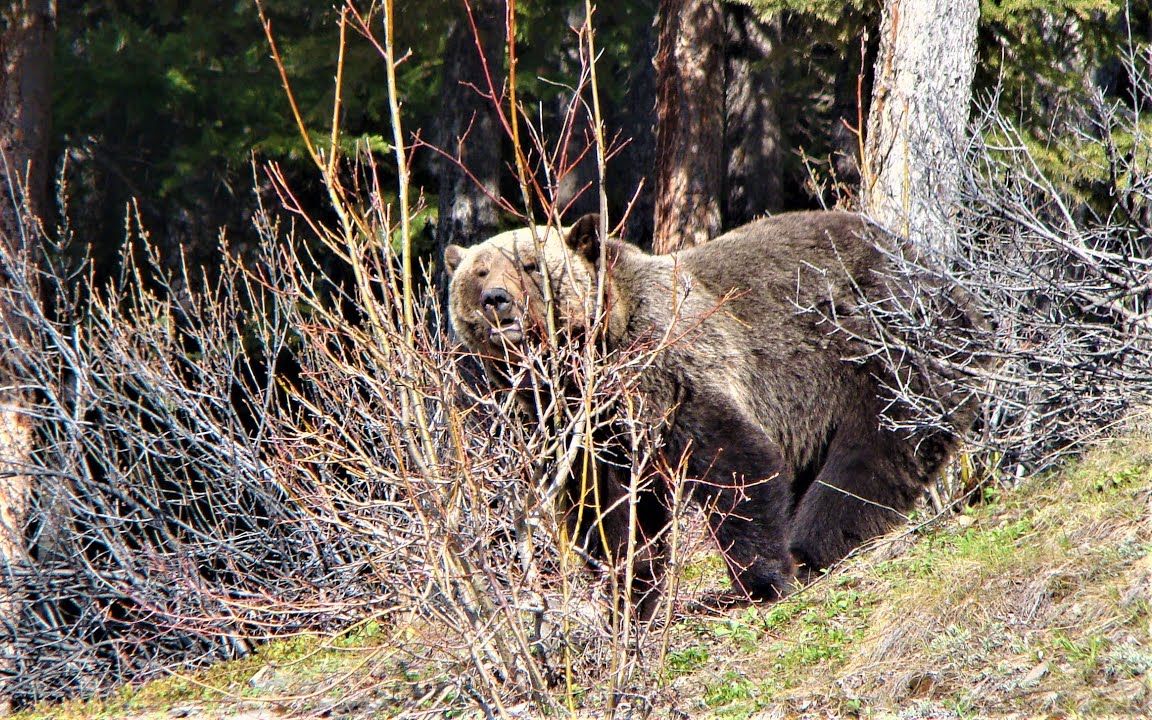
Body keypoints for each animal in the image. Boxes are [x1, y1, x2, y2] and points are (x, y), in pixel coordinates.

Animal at [444, 209, 986, 617]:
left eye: (531, 264)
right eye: (478, 272)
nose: (497, 300)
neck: (589, 359)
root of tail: (936, 268)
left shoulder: (670, 363)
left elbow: (734, 458)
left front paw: (765, 578)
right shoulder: (581, 422)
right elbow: (607, 507)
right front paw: (629, 593)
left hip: (883, 342)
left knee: (880, 445)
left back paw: (812, 546)